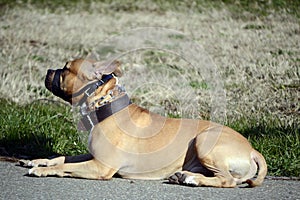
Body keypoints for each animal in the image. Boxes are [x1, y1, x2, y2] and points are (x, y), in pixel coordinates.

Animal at [20, 58, 268, 188]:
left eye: (66, 68)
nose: (48, 70)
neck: (105, 105)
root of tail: (252, 150)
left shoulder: (100, 166)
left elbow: (65, 167)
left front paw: (41, 171)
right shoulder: (92, 156)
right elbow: (62, 158)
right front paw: (37, 161)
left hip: (205, 141)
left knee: (227, 180)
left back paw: (191, 179)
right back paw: (184, 176)